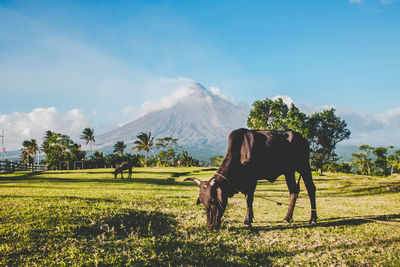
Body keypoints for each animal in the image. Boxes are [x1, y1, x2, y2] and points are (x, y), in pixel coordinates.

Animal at [186, 127, 318, 230]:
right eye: (203, 202)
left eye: (213, 201)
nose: (209, 226)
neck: (239, 151)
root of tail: (303, 139)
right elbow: (248, 199)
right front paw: (251, 217)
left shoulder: (252, 180)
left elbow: (249, 199)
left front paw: (247, 222)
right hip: (288, 171)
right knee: (293, 191)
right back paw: (287, 218)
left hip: (304, 166)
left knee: (311, 189)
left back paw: (313, 219)